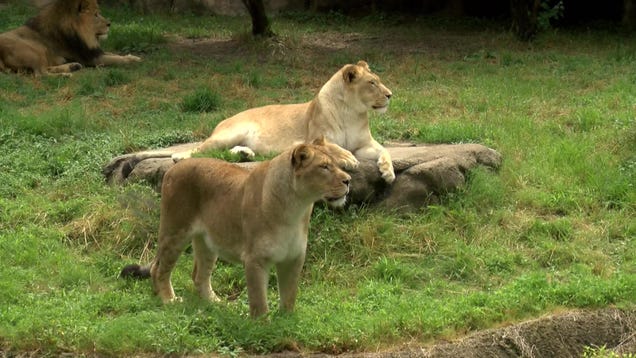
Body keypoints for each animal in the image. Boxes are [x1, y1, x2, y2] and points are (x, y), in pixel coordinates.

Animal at [0, 0, 140, 75]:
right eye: (95, 15)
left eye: (98, 13)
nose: (109, 24)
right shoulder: (91, 58)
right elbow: (115, 59)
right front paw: (132, 61)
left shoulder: (93, 51)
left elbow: (114, 53)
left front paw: (133, 57)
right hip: (35, 50)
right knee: (41, 73)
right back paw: (65, 75)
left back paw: (72, 67)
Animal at [121, 138, 356, 318]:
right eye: (324, 167)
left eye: (338, 164)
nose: (348, 180)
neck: (296, 208)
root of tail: (172, 168)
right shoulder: (254, 259)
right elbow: (259, 300)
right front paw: (263, 327)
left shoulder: (294, 258)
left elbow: (289, 294)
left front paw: (286, 321)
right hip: (175, 231)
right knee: (159, 268)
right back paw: (169, 300)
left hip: (207, 242)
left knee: (199, 275)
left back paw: (216, 303)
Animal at [174, 60, 392, 183]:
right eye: (372, 83)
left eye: (378, 80)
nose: (390, 95)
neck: (352, 113)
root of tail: (225, 119)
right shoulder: (311, 139)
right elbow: (332, 146)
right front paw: (348, 158)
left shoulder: (364, 144)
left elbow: (384, 150)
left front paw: (388, 171)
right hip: (230, 133)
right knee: (202, 149)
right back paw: (179, 157)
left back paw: (245, 154)